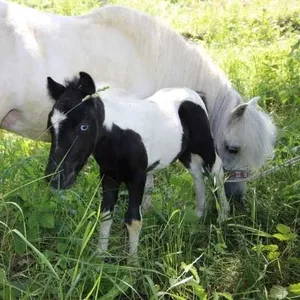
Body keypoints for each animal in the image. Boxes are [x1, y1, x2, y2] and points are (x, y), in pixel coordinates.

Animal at [44, 72, 227, 258]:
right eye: (50, 126)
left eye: (84, 126)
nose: (55, 178)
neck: (117, 137)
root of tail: (194, 93)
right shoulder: (109, 175)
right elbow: (105, 214)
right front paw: (100, 255)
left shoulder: (137, 177)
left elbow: (133, 220)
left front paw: (133, 261)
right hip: (185, 152)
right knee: (196, 173)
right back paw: (198, 214)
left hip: (204, 144)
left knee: (216, 169)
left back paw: (223, 215)